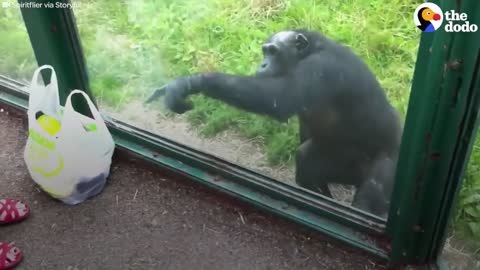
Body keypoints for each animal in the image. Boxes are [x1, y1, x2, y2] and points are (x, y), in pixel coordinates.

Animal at [146, 29, 402, 216]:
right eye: (264, 51)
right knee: (307, 158)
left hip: (387, 168)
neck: (308, 52)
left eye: (273, 51)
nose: (263, 64)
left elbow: (278, 98)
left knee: (372, 192)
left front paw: (188, 82)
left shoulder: (322, 67)